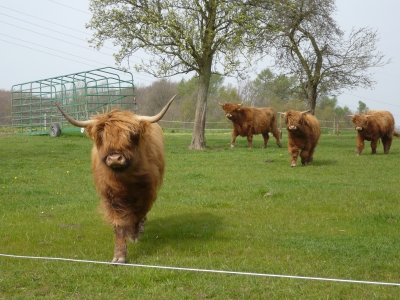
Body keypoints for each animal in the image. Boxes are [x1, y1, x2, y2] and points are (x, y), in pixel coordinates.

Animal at [54, 95, 177, 264]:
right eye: (101, 137)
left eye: (131, 136)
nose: (115, 158)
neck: (124, 181)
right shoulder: (110, 197)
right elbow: (119, 224)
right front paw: (119, 255)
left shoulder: (147, 193)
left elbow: (138, 214)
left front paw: (133, 235)